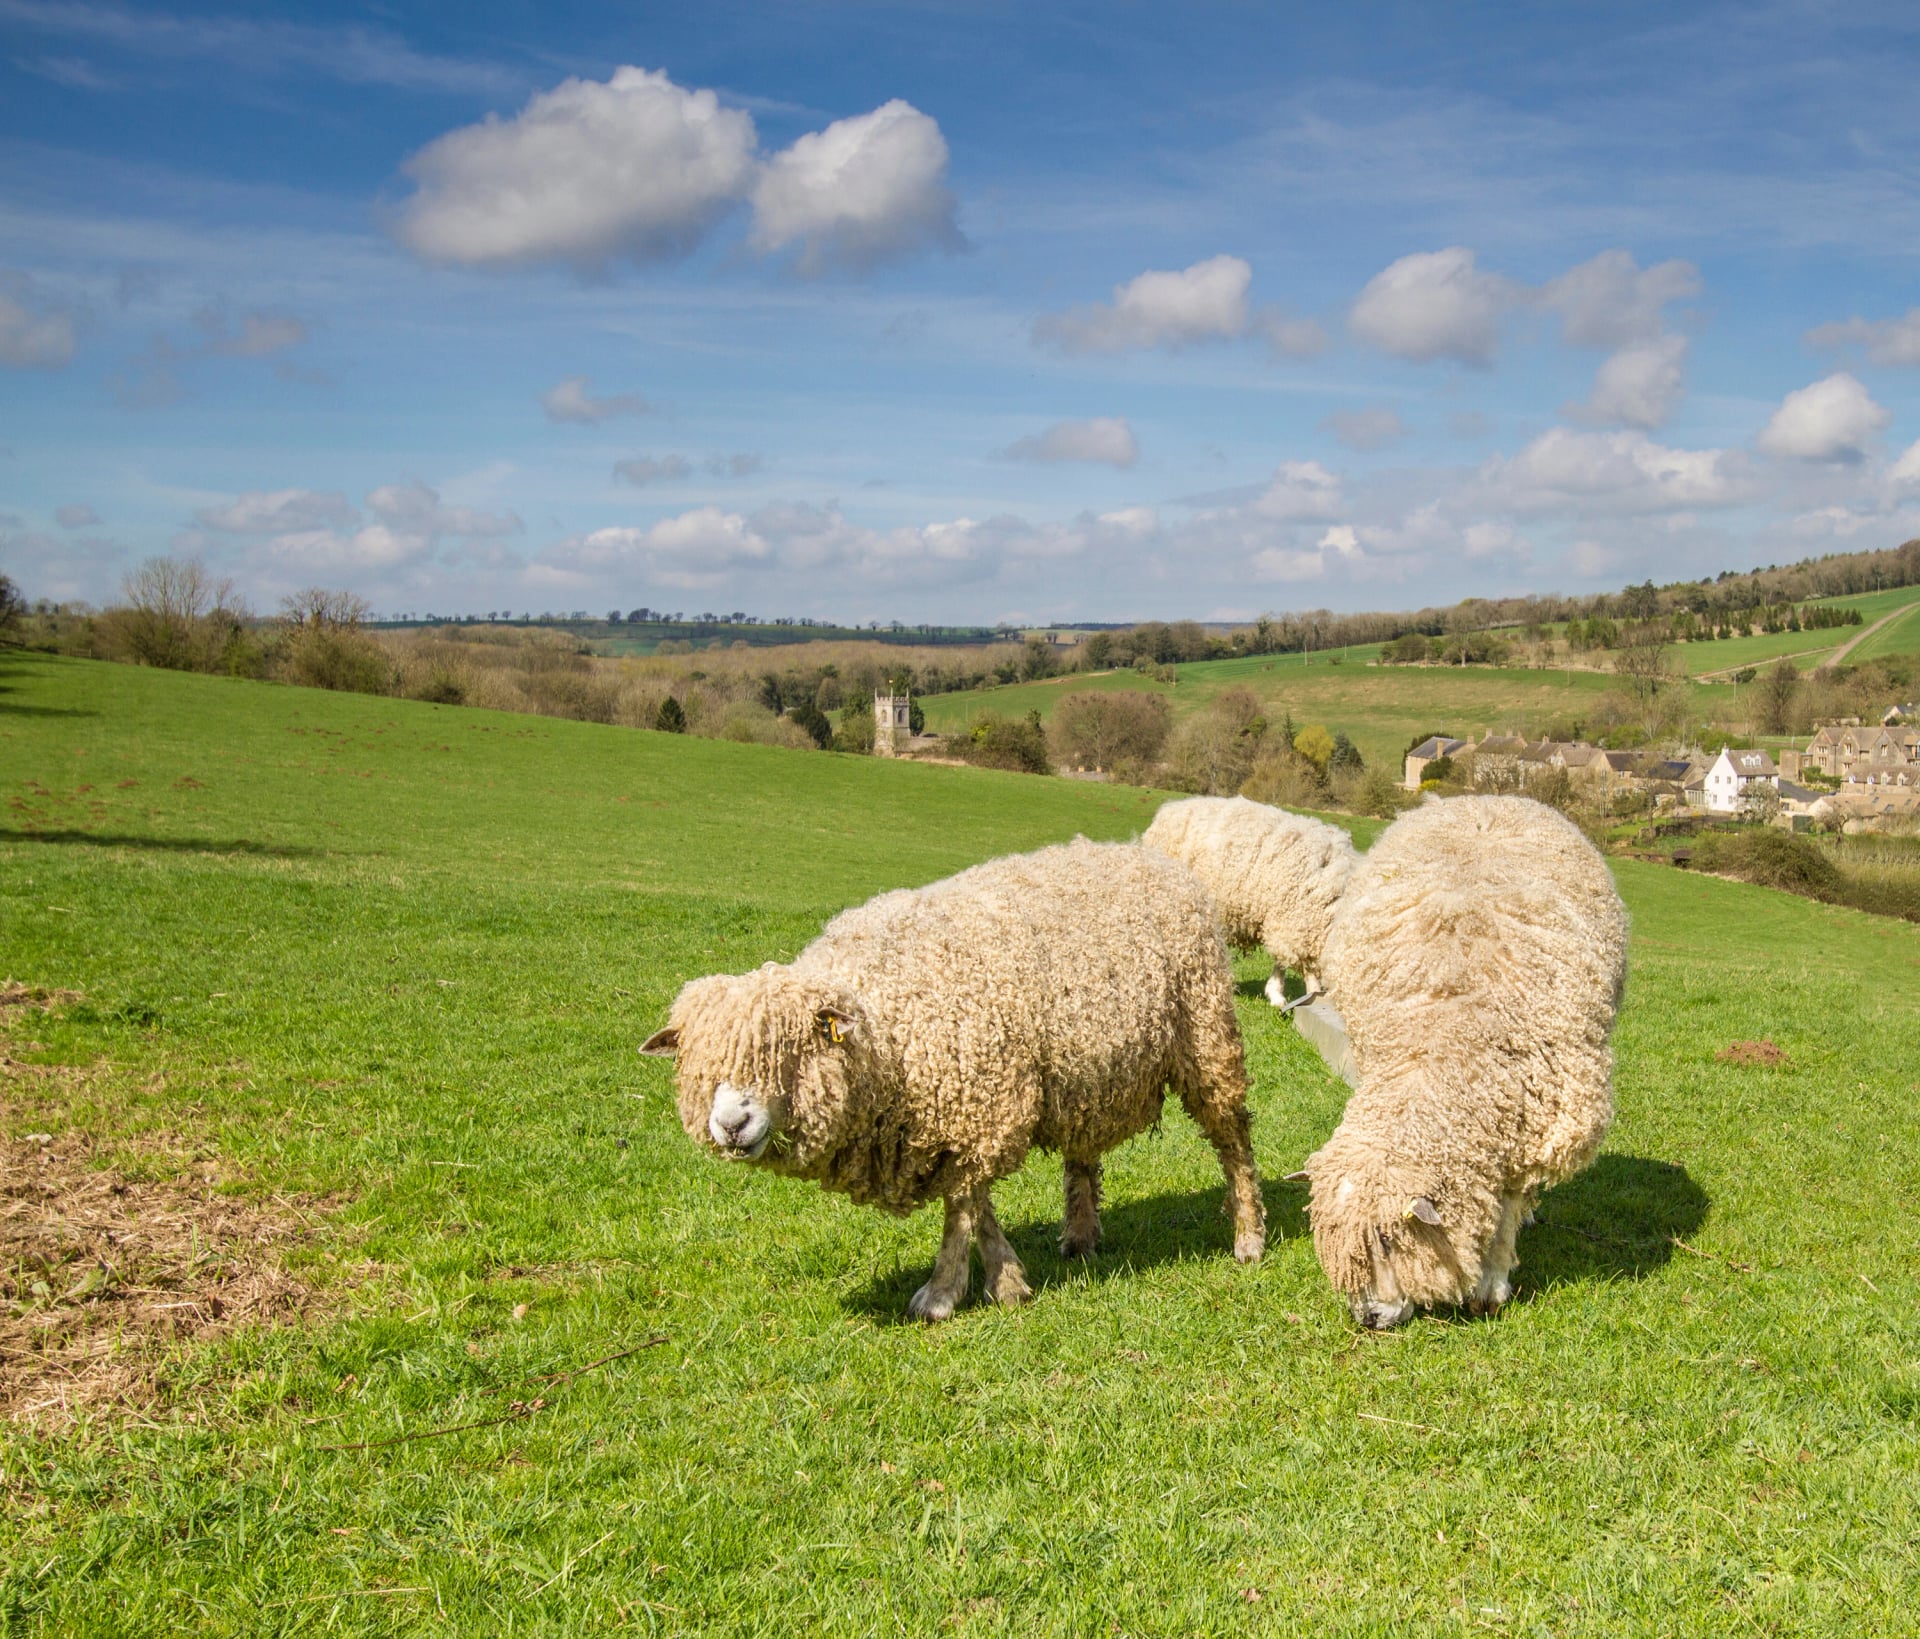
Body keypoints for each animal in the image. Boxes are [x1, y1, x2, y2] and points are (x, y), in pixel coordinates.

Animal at [640, 838, 1266, 1322]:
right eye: (698, 1069)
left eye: (790, 1053)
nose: (731, 1125)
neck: (884, 1031)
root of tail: (1149, 856)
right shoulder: (959, 1117)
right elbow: (975, 1203)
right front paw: (1007, 1277)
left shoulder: (982, 1104)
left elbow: (961, 1206)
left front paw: (944, 1293)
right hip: (1080, 1073)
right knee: (1083, 1153)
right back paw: (1081, 1235)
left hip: (1205, 1034)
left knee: (1233, 1139)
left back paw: (1248, 1236)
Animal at [1297, 796, 1628, 1329]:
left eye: (1389, 1238)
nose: (1368, 1317)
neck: (1443, 1043)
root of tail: (1489, 799)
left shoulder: (1530, 1120)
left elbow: (1508, 1207)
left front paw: (1491, 1283)